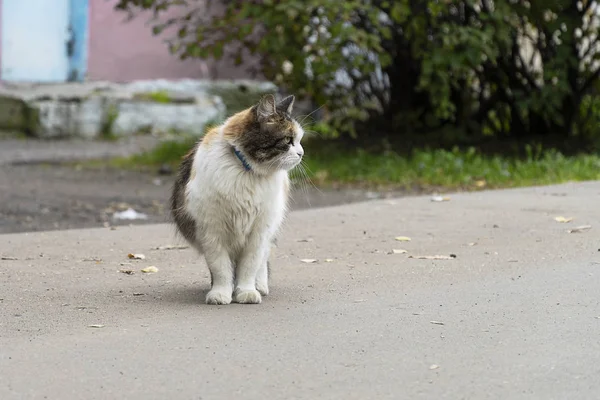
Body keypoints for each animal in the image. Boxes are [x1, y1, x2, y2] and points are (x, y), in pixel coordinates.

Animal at [170, 94, 304, 304]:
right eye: (288, 140)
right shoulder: (211, 231)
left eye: (299, 140)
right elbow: (221, 269)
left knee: (262, 262)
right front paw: (220, 293)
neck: (245, 172)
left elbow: (249, 266)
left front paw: (247, 292)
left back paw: (260, 286)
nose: (301, 154)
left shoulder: (259, 232)